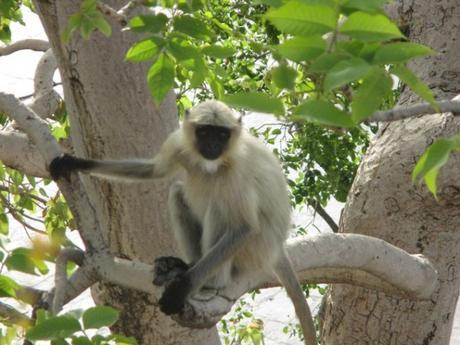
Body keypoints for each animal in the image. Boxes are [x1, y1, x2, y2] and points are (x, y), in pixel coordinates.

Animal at [48, 99, 318, 344]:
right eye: (205, 132)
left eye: (222, 134)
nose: (212, 144)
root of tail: (277, 247)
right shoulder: (180, 142)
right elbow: (154, 170)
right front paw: (74, 162)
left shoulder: (237, 170)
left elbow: (245, 227)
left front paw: (183, 288)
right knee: (177, 192)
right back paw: (184, 265)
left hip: (255, 249)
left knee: (220, 208)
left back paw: (209, 281)